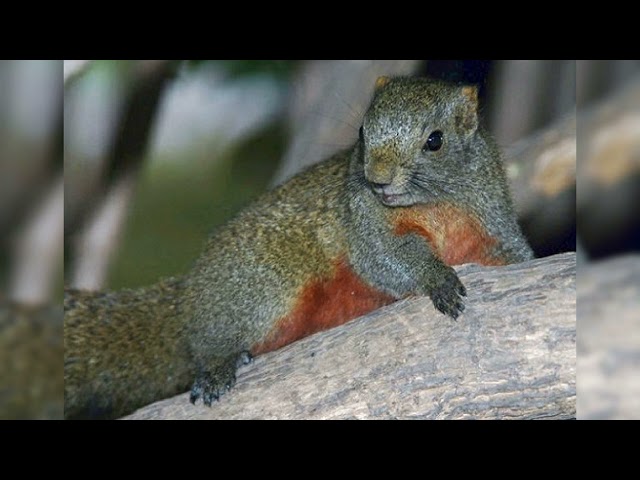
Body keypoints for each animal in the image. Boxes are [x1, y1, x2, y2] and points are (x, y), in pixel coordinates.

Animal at [66, 77, 536, 418]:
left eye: (434, 140)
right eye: (362, 133)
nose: (377, 178)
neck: (437, 204)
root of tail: (187, 297)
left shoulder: (492, 219)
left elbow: (512, 255)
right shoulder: (364, 219)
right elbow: (386, 257)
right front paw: (437, 278)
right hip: (263, 284)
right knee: (213, 337)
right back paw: (218, 364)